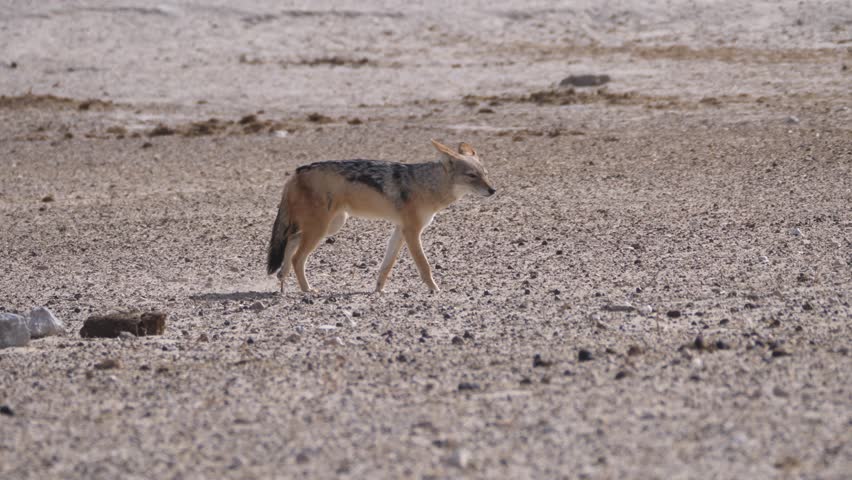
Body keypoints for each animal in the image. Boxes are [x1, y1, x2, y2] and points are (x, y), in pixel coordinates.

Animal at [266, 139, 496, 293]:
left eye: (485, 174)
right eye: (472, 176)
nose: (492, 190)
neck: (425, 185)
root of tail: (296, 172)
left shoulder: (400, 231)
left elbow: (387, 265)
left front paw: (378, 290)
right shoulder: (412, 232)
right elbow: (424, 265)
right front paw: (434, 289)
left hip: (331, 226)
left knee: (291, 241)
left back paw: (282, 278)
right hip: (321, 230)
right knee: (297, 257)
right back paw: (307, 290)